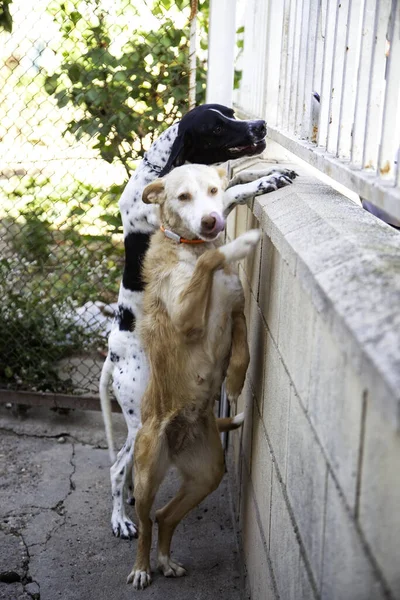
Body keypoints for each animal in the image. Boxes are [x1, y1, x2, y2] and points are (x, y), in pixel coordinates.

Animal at [98, 103, 296, 540]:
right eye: (216, 127)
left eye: (232, 113)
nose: (260, 126)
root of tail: (112, 355)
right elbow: (233, 192)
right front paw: (269, 179)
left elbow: (234, 179)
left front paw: (268, 171)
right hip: (139, 415)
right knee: (117, 467)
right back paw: (120, 519)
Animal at [126, 162, 260, 588]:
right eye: (183, 197)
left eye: (215, 191)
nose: (211, 221)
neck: (192, 246)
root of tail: (178, 441)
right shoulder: (187, 319)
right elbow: (207, 263)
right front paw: (238, 245)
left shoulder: (237, 313)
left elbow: (243, 352)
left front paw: (235, 383)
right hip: (147, 475)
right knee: (146, 521)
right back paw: (142, 568)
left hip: (207, 475)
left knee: (166, 518)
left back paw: (166, 561)